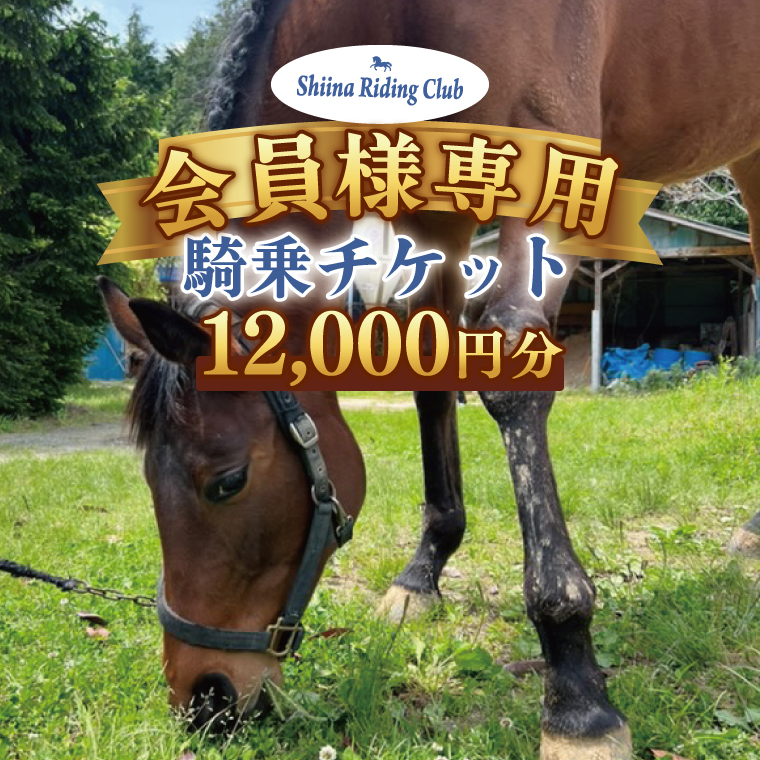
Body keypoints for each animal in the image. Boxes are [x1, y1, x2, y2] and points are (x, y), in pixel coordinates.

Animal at [100, 1, 760, 757]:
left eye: (227, 482)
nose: (202, 698)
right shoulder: (434, 199)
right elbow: (429, 366)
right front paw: (424, 572)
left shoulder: (550, 160)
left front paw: (576, 693)